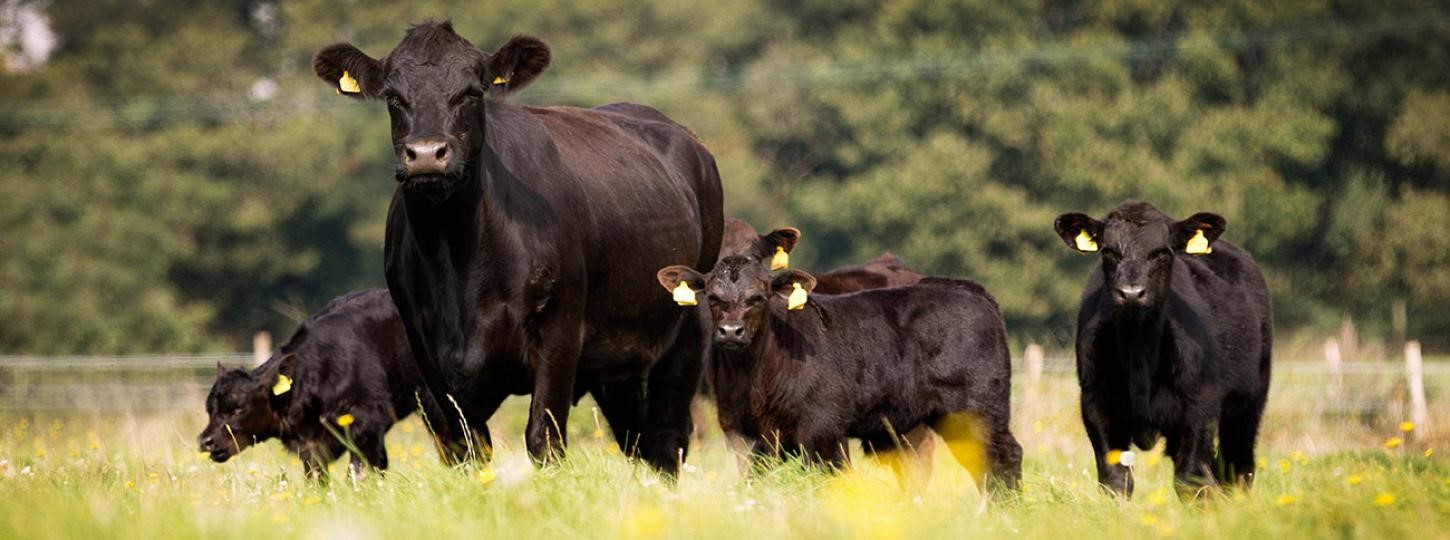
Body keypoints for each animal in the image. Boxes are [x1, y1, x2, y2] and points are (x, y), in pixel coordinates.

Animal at [192, 288, 472, 479]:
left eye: (238, 408)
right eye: (209, 409)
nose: (206, 441)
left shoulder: (367, 426)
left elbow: (361, 474)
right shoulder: (312, 447)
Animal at [316, 23, 725, 473]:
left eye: (471, 91)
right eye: (393, 97)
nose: (426, 155)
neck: (458, 266)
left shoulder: (559, 333)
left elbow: (544, 439)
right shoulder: (428, 354)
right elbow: (466, 449)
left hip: (685, 328)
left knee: (667, 439)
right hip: (619, 362)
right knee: (637, 438)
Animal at [658, 258, 1020, 493]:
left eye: (758, 297)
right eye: (713, 298)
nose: (731, 331)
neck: (756, 377)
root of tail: (963, 287)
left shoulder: (823, 430)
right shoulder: (740, 430)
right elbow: (754, 482)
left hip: (979, 409)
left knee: (1003, 457)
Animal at [1055, 198, 1270, 496]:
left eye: (1162, 252)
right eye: (1108, 251)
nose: (1131, 293)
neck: (1139, 354)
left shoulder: (1200, 405)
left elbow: (1190, 478)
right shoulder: (1095, 401)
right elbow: (1115, 478)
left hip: (1249, 402)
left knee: (1237, 467)